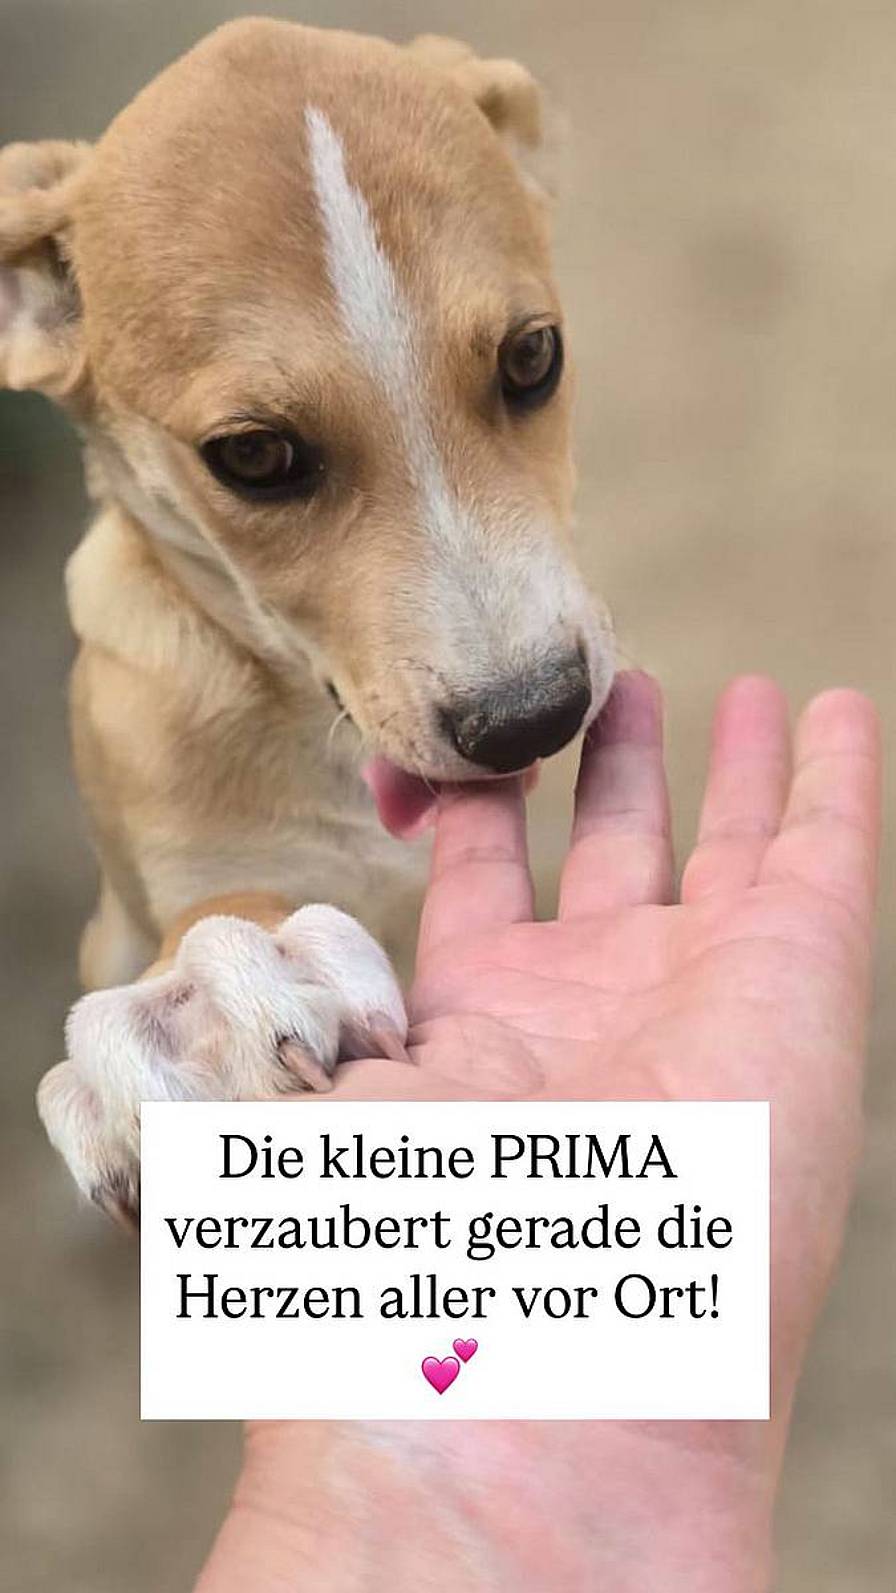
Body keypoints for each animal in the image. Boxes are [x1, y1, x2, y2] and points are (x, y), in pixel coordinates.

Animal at [0, 20, 614, 1226]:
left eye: (531, 356)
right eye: (254, 455)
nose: (533, 719)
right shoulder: (159, 886)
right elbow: (213, 917)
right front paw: (216, 995)